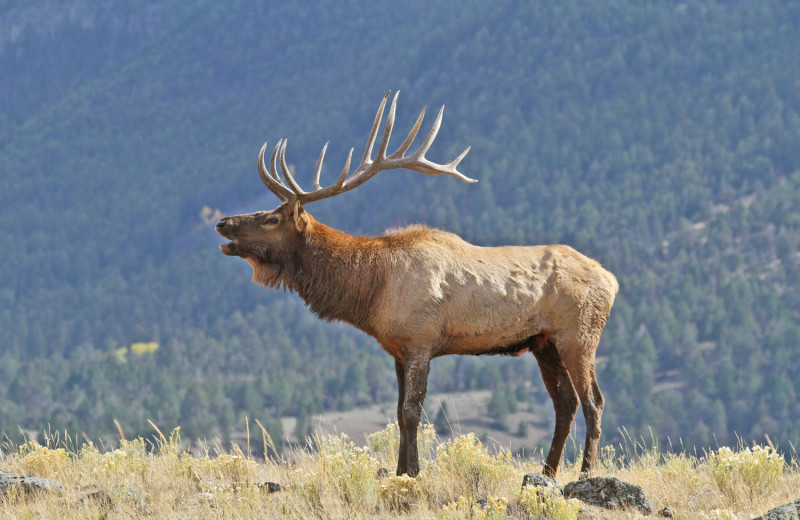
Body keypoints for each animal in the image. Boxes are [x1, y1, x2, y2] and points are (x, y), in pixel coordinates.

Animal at [216, 91, 616, 478]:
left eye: (271, 219)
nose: (222, 222)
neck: (371, 292)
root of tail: (611, 280)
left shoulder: (422, 340)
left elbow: (411, 412)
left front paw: (414, 471)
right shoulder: (397, 348)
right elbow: (397, 413)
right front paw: (400, 470)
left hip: (579, 336)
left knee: (593, 401)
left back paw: (585, 472)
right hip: (543, 343)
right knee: (565, 403)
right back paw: (547, 472)